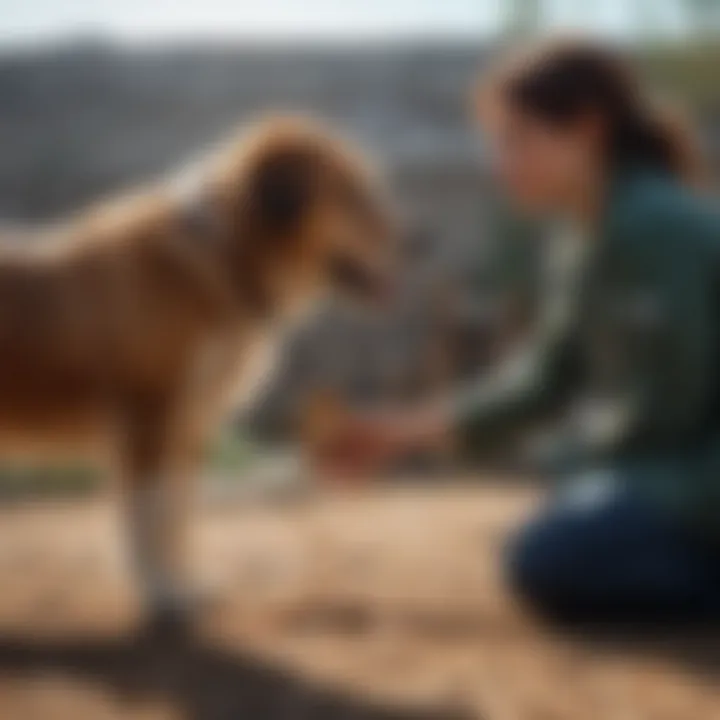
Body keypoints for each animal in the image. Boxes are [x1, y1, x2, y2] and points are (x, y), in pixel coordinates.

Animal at [0, 118, 394, 624]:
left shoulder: (184, 427)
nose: (421, 239)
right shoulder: (149, 421)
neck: (224, 259)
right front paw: (163, 596)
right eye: (349, 194)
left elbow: (176, 519)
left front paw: (185, 588)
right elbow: (149, 522)